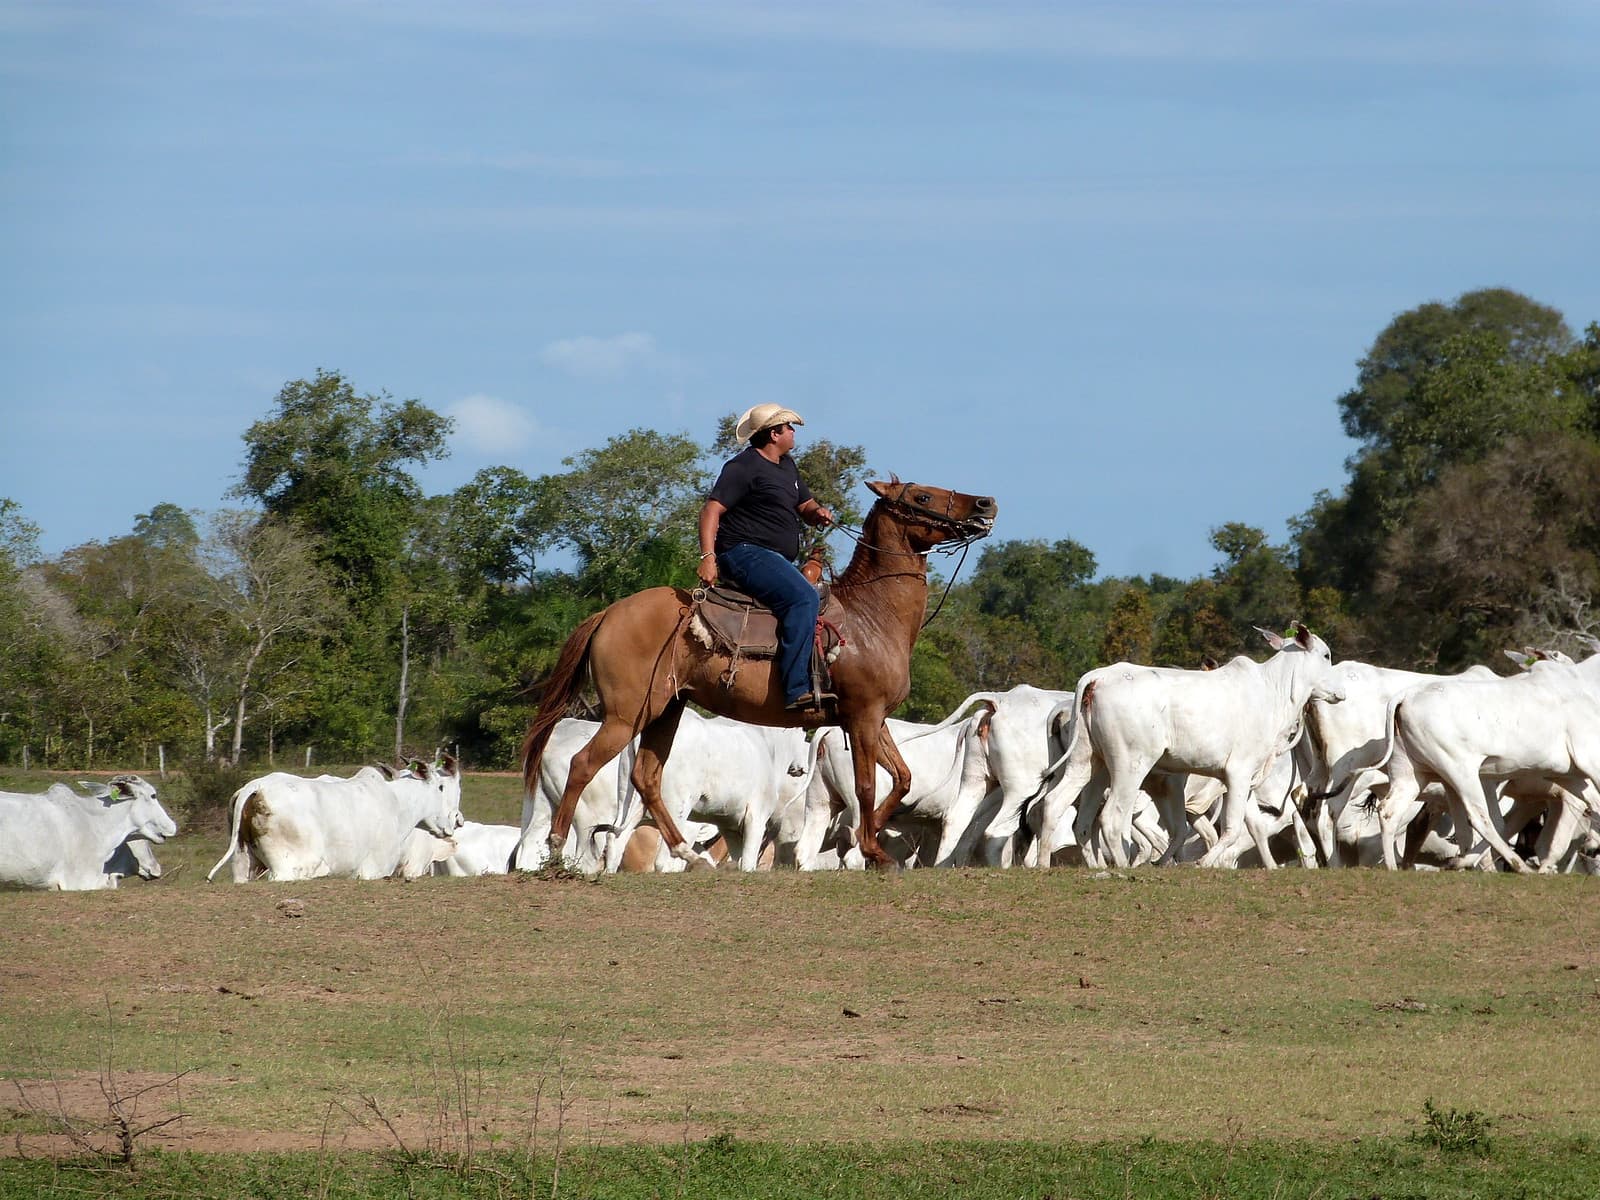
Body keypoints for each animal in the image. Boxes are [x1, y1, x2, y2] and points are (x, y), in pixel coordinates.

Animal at [206, 761, 464, 883]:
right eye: (441, 786)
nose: (456, 820)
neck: (396, 802)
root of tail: (256, 786)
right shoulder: (373, 870)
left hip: (242, 864)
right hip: (290, 866)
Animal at [524, 483, 992, 876]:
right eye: (922, 496)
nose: (985, 504)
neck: (869, 619)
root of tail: (608, 613)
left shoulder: (874, 721)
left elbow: (903, 777)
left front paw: (873, 838)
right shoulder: (863, 717)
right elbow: (867, 785)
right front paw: (874, 852)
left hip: (665, 711)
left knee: (647, 777)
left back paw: (690, 855)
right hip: (626, 715)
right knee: (583, 765)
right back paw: (556, 848)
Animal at [1030, 624, 1344, 870]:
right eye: (1326, 655)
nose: (1340, 693)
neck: (1273, 690)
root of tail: (1097, 677)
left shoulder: (1243, 782)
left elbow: (1244, 826)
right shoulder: (1238, 773)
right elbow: (1231, 829)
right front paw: (1204, 862)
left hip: (1089, 763)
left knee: (1061, 808)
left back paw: (1048, 863)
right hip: (1130, 766)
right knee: (1112, 816)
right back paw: (1120, 865)